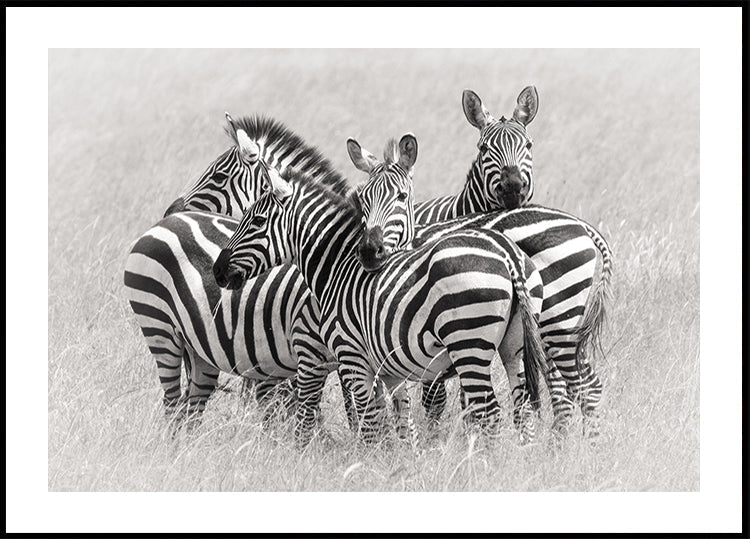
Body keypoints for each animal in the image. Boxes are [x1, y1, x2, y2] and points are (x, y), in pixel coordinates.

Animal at [213, 162, 549, 446]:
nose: (217, 271)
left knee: (489, 412)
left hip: (468, 344)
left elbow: (370, 423)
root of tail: (507, 253)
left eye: (257, 221)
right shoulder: (389, 368)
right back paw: (522, 459)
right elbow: (401, 422)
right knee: (521, 409)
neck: (337, 267)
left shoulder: (352, 357)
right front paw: (401, 465)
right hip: (514, 347)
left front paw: (368, 466)